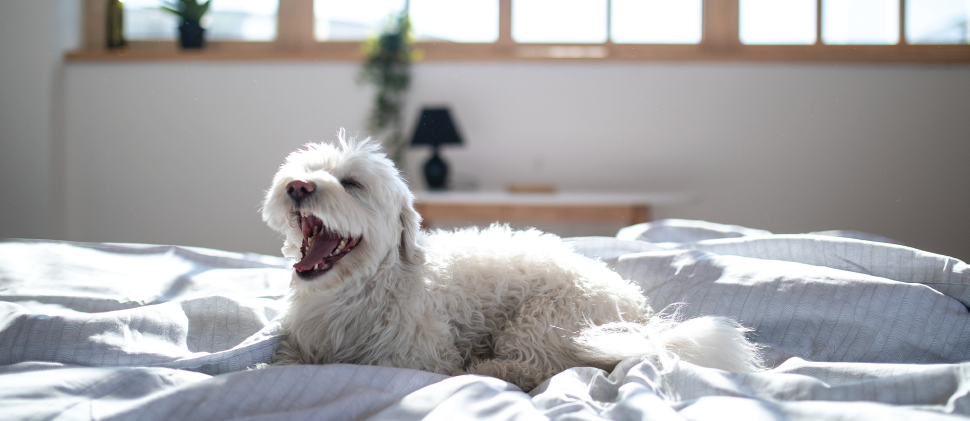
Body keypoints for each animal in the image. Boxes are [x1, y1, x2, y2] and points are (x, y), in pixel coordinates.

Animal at [260, 131, 760, 390]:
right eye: (303, 171)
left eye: (352, 183)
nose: (299, 186)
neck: (356, 291)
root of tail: (640, 314)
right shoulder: (299, 345)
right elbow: (283, 362)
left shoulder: (418, 358)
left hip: (541, 321)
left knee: (544, 369)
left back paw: (489, 370)